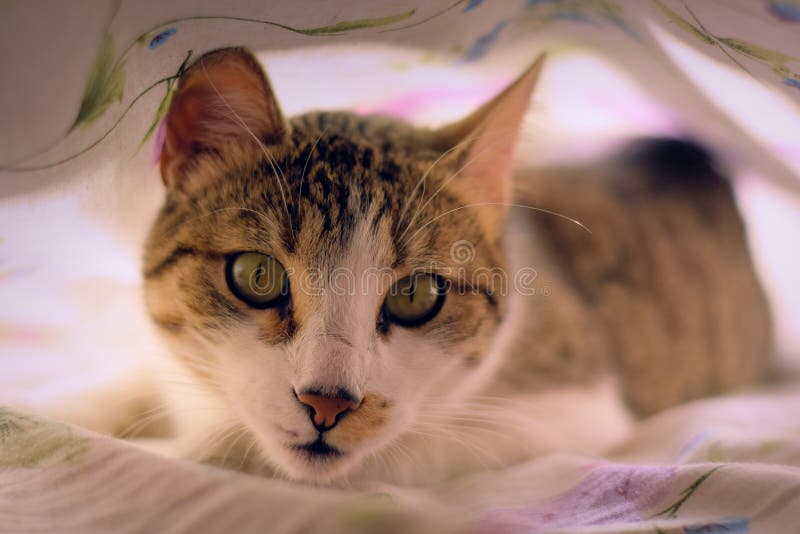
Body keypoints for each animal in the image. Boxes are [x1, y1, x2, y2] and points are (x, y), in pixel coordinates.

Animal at [90, 48, 772, 488]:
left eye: (417, 294)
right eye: (257, 276)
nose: (326, 403)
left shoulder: (572, 411)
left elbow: (396, 450)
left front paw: (164, 451)